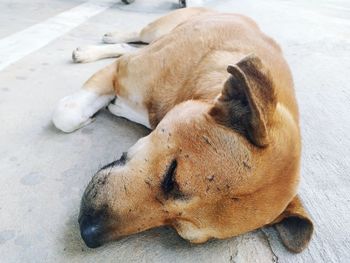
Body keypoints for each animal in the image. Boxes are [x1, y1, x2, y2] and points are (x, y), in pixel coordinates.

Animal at [52, 7, 314, 253]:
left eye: (180, 231)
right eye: (172, 174)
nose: (87, 233)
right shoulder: (120, 69)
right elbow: (65, 115)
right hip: (156, 29)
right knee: (136, 38)